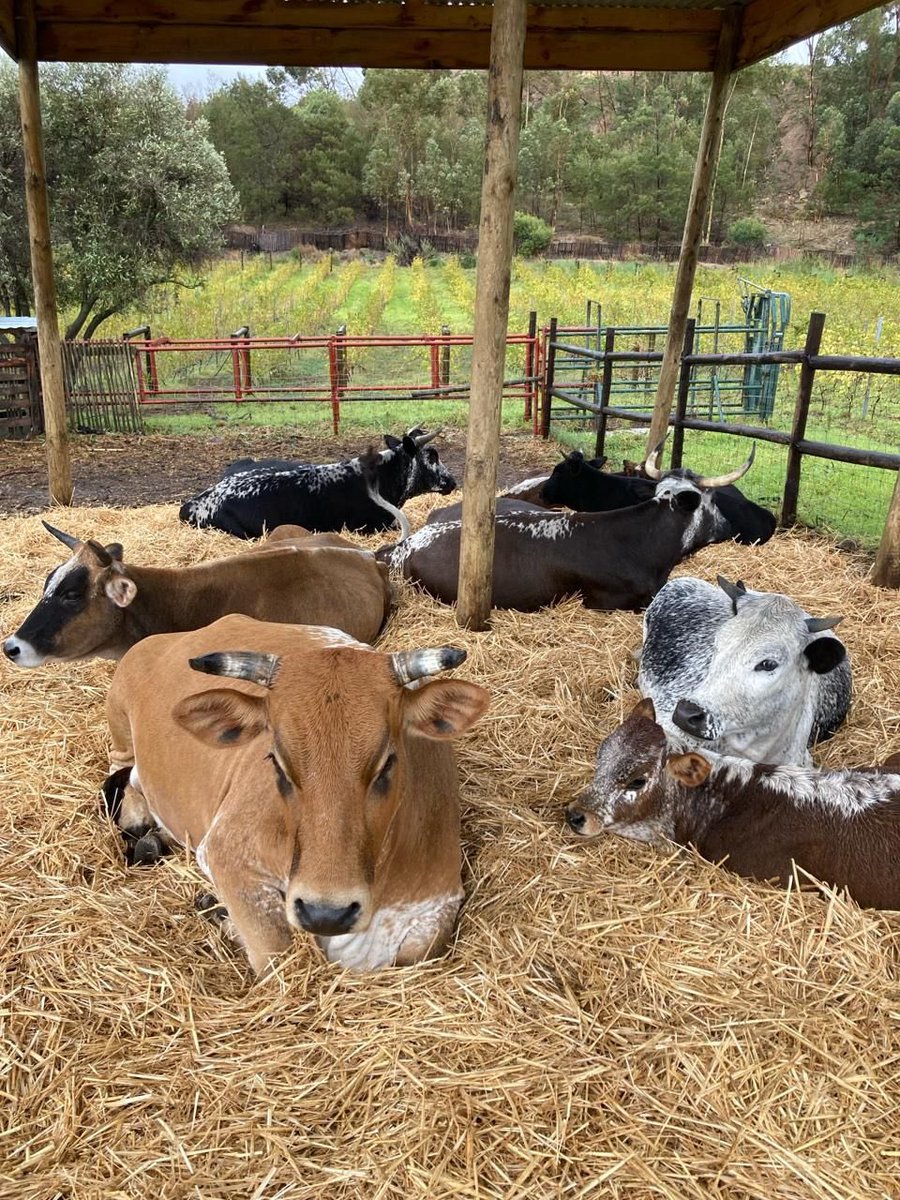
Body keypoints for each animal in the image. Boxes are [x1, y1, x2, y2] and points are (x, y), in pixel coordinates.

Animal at [105, 619, 494, 974]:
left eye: (387, 761)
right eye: (276, 760)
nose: (326, 913)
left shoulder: (438, 903)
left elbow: (418, 951)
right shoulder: (227, 852)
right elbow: (274, 955)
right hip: (120, 725)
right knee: (123, 771)